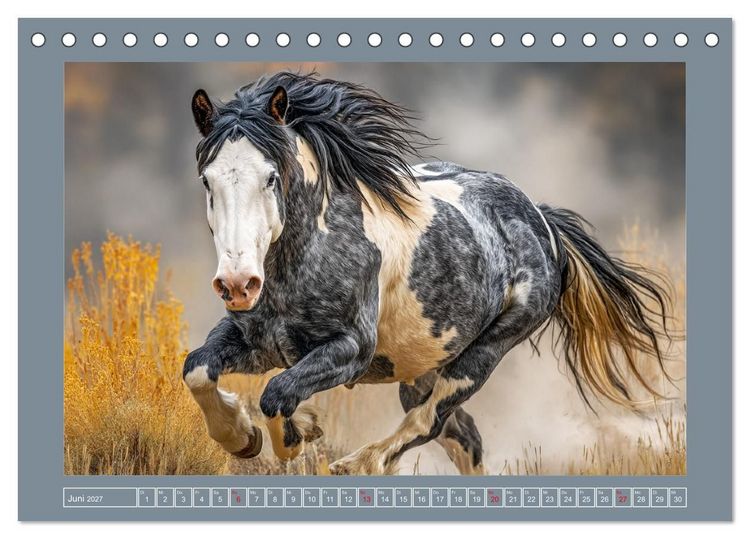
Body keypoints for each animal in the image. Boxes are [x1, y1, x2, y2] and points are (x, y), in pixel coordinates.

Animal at [182, 72, 672, 475]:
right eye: (207, 180)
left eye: (270, 176)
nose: (238, 284)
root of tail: (541, 219)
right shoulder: (257, 341)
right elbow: (198, 369)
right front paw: (241, 437)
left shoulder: (351, 349)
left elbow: (276, 394)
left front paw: (295, 436)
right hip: (421, 368)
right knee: (463, 436)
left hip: (483, 355)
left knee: (429, 422)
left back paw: (359, 464)